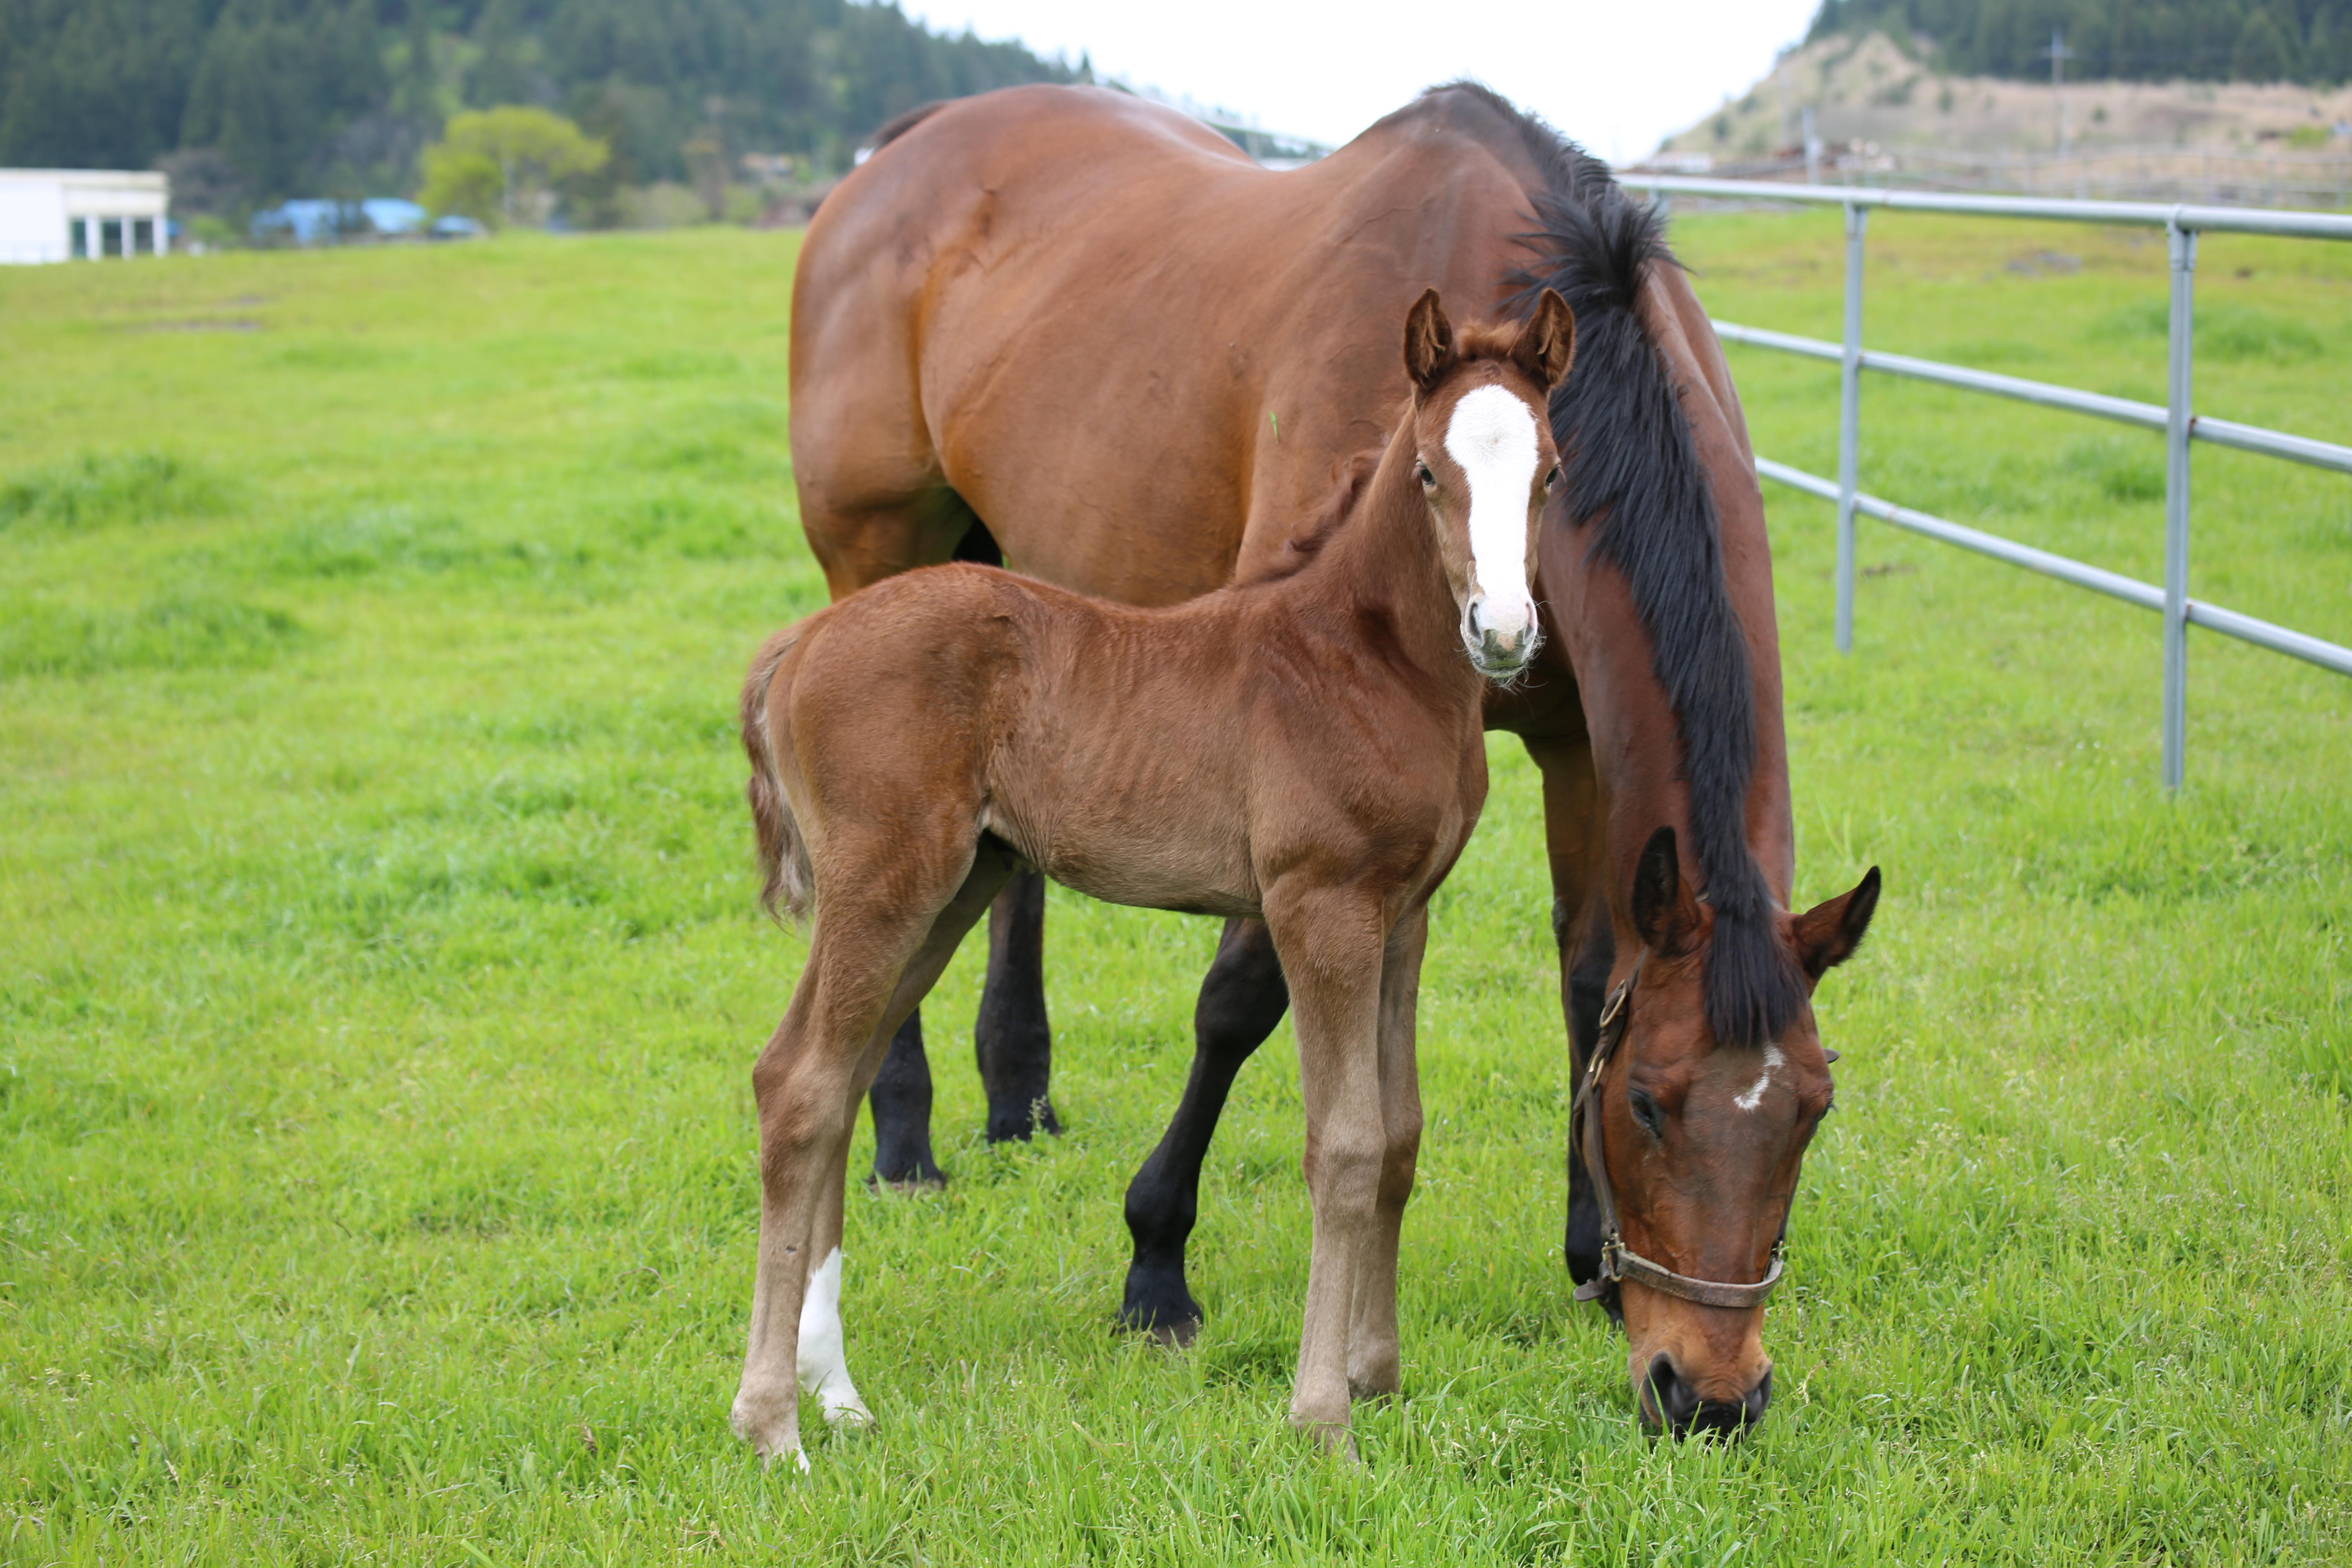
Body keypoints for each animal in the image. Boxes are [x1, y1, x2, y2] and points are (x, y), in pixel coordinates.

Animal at [734, 285, 1580, 1476]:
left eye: (1548, 471)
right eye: (1427, 472)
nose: (1502, 632)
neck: (1361, 659)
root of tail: (803, 641)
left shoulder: (1404, 914)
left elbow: (1401, 1134)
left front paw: (1379, 1377)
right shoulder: (1320, 906)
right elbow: (1345, 1143)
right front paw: (1322, 1417)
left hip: (953, 889)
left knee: (830, 1080)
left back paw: (839, 1397)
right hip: (885, 885)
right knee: (800, 1086)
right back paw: (771, 1423)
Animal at [800, 82, 1882, 1439]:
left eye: (1813, 1110)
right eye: (1652, 1102)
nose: (1711, 1395)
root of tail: (904, 149)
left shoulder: (1577, 749)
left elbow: (1587, 973)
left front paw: (1587, 1257)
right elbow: (1238, 1000)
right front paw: (1156, 1261)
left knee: (1013, 868)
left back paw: (1017, 1093)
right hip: (882, 562)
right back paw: (906, 1137)